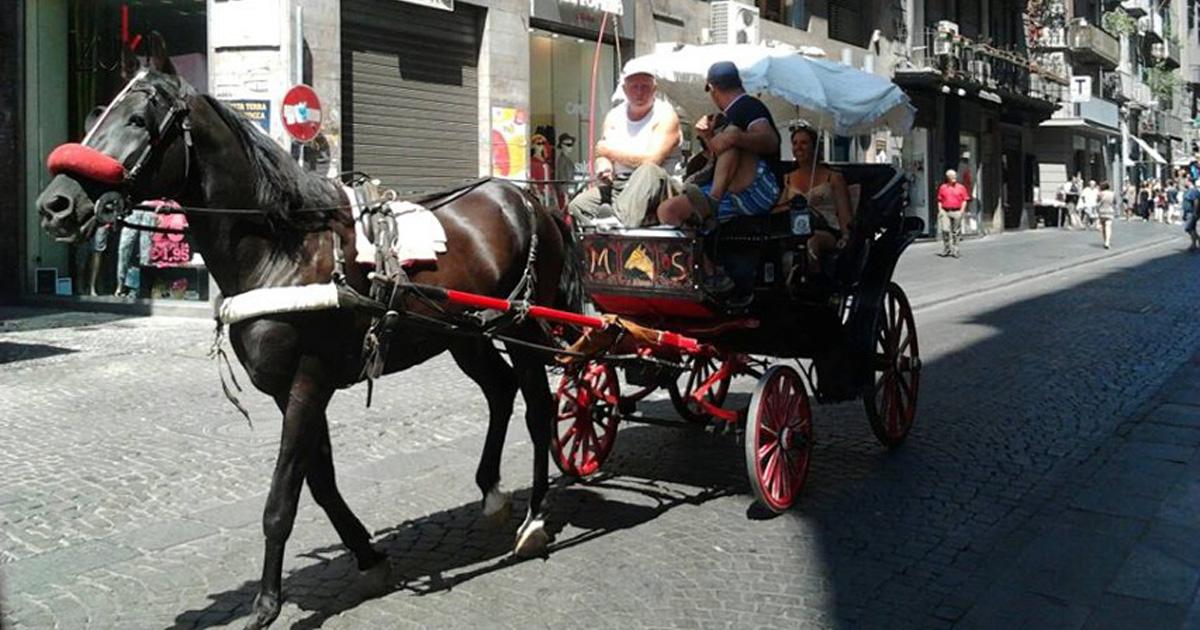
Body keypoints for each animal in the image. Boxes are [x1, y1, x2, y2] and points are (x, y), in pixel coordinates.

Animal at [37, 40, 580, 628]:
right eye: (94, 116)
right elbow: (319, 480)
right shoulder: (287, 389)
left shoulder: (308, 382)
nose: (55, 204)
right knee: (501, 393)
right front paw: (368, 556)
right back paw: (493, 494)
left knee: (537, 408)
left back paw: (534, 519)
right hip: (464, 336)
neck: (282, 247)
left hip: (521, 324)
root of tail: (525, 199)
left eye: (138, 119)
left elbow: (282, 498)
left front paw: (266, 604)